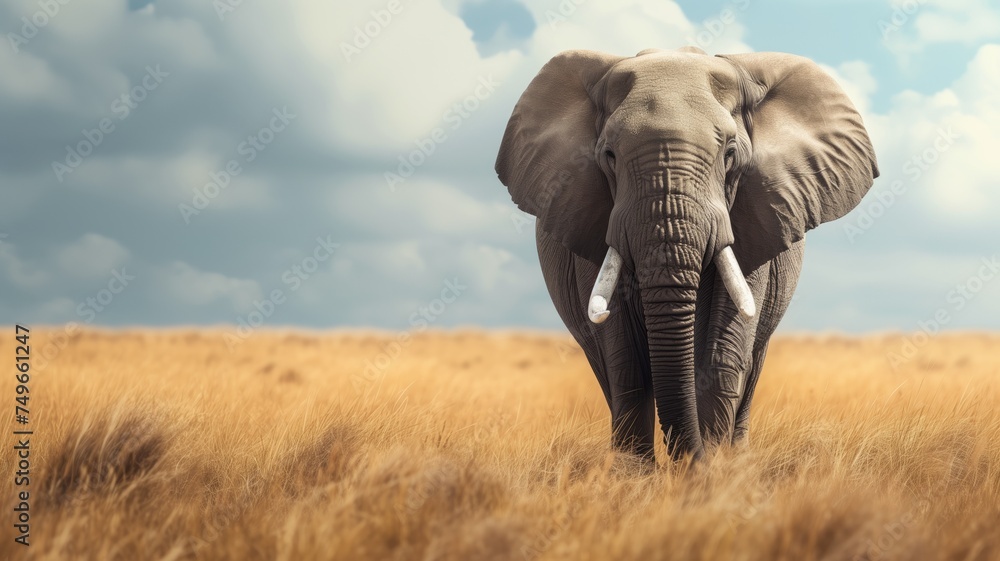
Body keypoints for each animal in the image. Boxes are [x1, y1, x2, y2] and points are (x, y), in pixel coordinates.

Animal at [494, 47, 878, 463]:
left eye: (729, 155)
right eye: (609, 155)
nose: (688, 462)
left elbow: (724, 346)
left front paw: (714, 470)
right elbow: (625, 359)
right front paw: (635, 476)